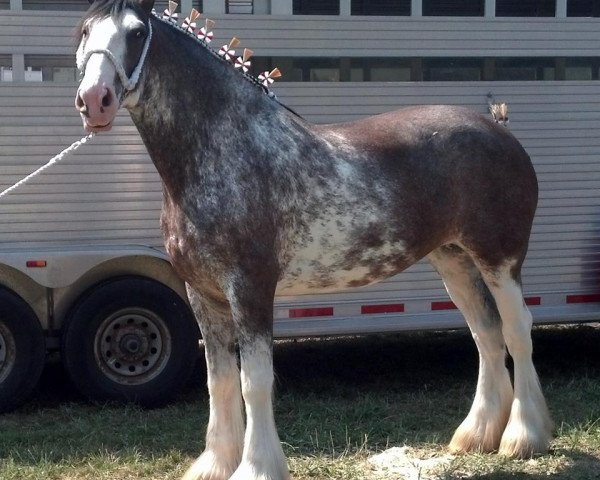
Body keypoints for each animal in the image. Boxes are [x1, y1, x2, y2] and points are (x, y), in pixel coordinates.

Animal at [74, 1, 552, 478]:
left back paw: (523, 437)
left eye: (137, 33)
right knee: (486, 334)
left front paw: (257, 466)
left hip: (500, 260)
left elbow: (254, 381)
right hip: (454, 261)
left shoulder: (250, 288)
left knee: (517, 330)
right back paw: (477, 435)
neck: (222, 151)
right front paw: (215, 463)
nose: (95, 100)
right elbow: (220, 381)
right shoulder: (202, 294)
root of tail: (500, 129)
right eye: (84, 31)